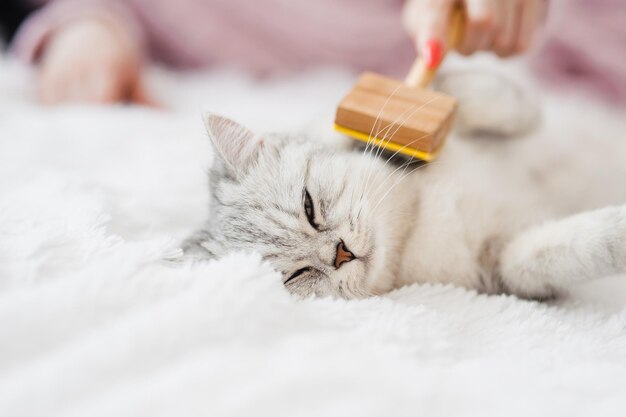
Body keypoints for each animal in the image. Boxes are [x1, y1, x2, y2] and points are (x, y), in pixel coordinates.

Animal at [183, 79, 624, 300]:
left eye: (309, 207)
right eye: (296, 276)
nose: (340, 253)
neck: (417, 215)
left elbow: (467, 90)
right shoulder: (505, 267)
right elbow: (566, 250)